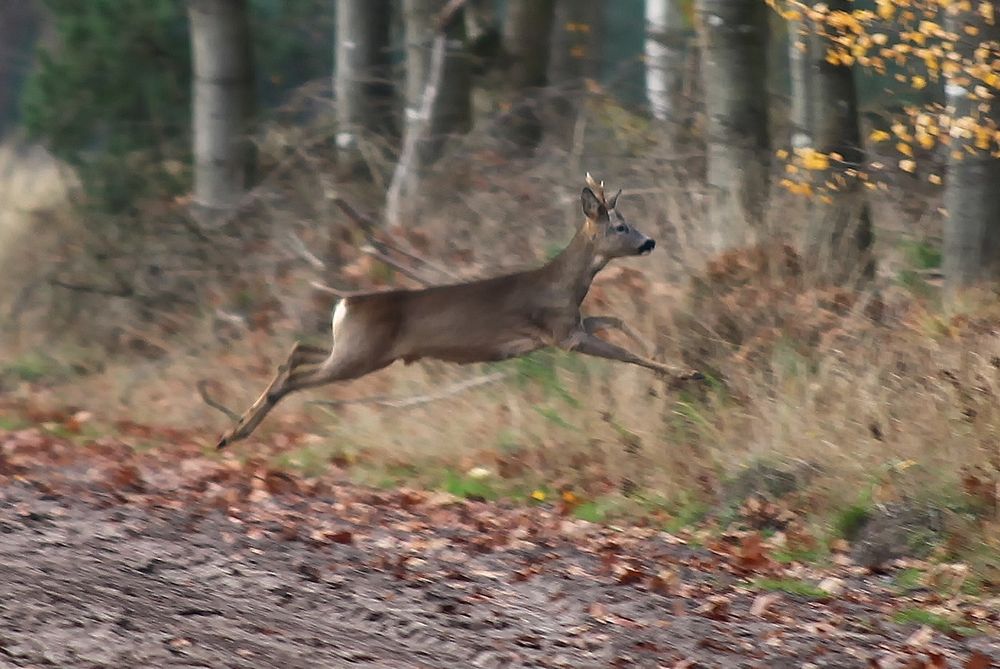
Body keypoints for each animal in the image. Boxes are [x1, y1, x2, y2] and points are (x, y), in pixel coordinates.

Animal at [217, 175, 704, 452]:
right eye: (621, 226)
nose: (649, 242)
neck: (564, 285)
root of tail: (345, 304)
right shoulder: (562, 334)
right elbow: (625, 353)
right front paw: (683, 373)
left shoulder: (573, 324)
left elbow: (618, 321)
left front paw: (671, 363)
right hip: (360, 355)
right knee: (297, 377)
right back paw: (235, 433)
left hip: (354, 348)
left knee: (297, 350)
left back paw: (232, 430)